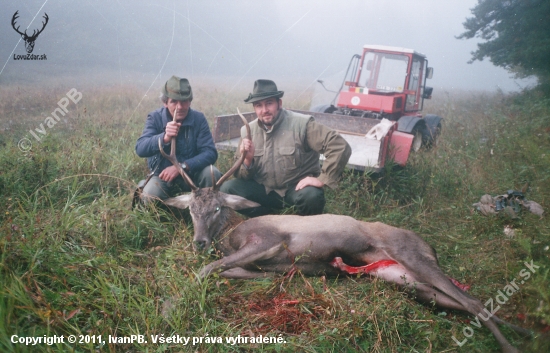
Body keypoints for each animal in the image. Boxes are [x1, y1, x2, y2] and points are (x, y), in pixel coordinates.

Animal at [158, 110, 528, 352]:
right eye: (191, 210)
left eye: (217, 207)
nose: (199, 242)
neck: (232, 233)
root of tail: (430, 247)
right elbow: (227, 271)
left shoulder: (269, 238)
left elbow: (207, 269)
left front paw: (169, 306)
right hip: (408, 282)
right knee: (463, 303)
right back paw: (523, 332)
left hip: (411, 255)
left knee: (474, 301)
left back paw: (513, 345)